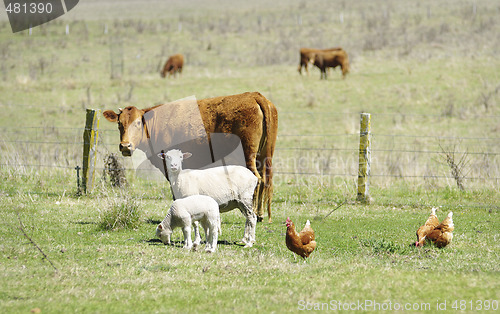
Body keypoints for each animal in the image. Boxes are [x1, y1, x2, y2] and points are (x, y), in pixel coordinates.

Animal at [103, 91, 280, 223]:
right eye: (119, 124)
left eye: (138, 123)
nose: (125, 146)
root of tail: (254, 96)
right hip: (264, 156)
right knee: (265, 181)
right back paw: (261, 214)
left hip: (248, 155)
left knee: (257, 179)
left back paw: (254, 213)